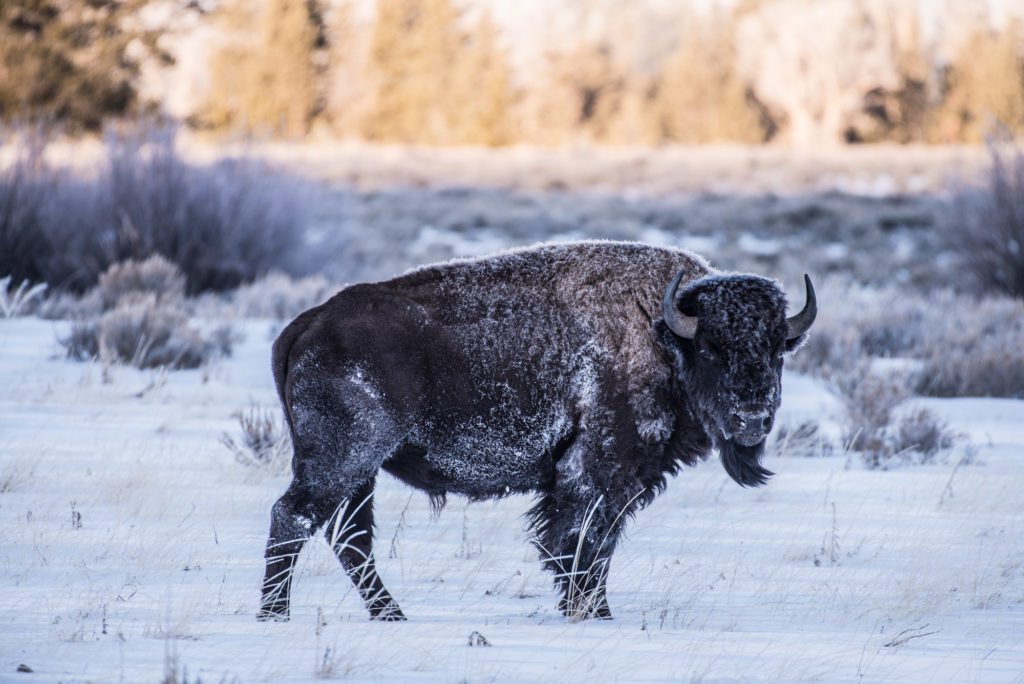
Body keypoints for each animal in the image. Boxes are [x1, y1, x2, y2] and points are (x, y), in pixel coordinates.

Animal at [258, 241, 815, 621]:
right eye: (709, 349)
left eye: (776, 349)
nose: (751, 418)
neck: (660, 333)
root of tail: (307, 324)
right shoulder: (596, 475)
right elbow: (583, 545)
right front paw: (594, 614)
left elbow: (593, 547)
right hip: (343, 459)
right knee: (294, 518)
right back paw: (276, 615)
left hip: (361, 472)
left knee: (349, 538)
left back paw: (391, 617)